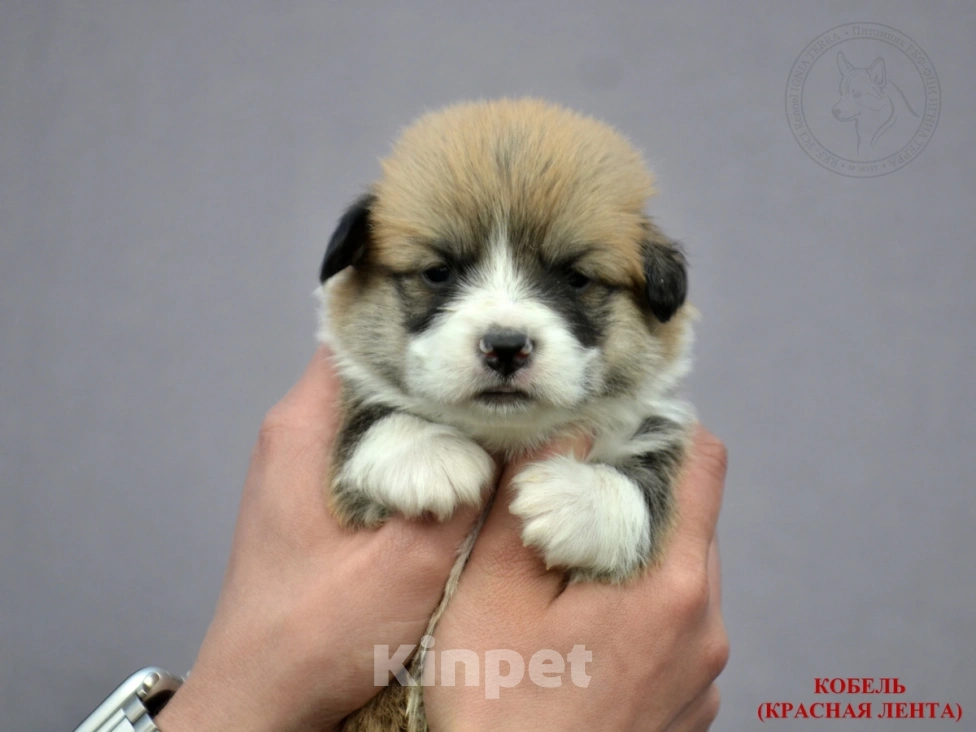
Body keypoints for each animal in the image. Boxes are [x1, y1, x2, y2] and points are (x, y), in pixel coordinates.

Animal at [316, 98, 696, 732]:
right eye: (438, 272)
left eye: (575, 278)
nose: (506, 346)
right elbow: (370, 416)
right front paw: (428, 454)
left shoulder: (651, 426)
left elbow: (642, 483)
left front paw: (578, 501)